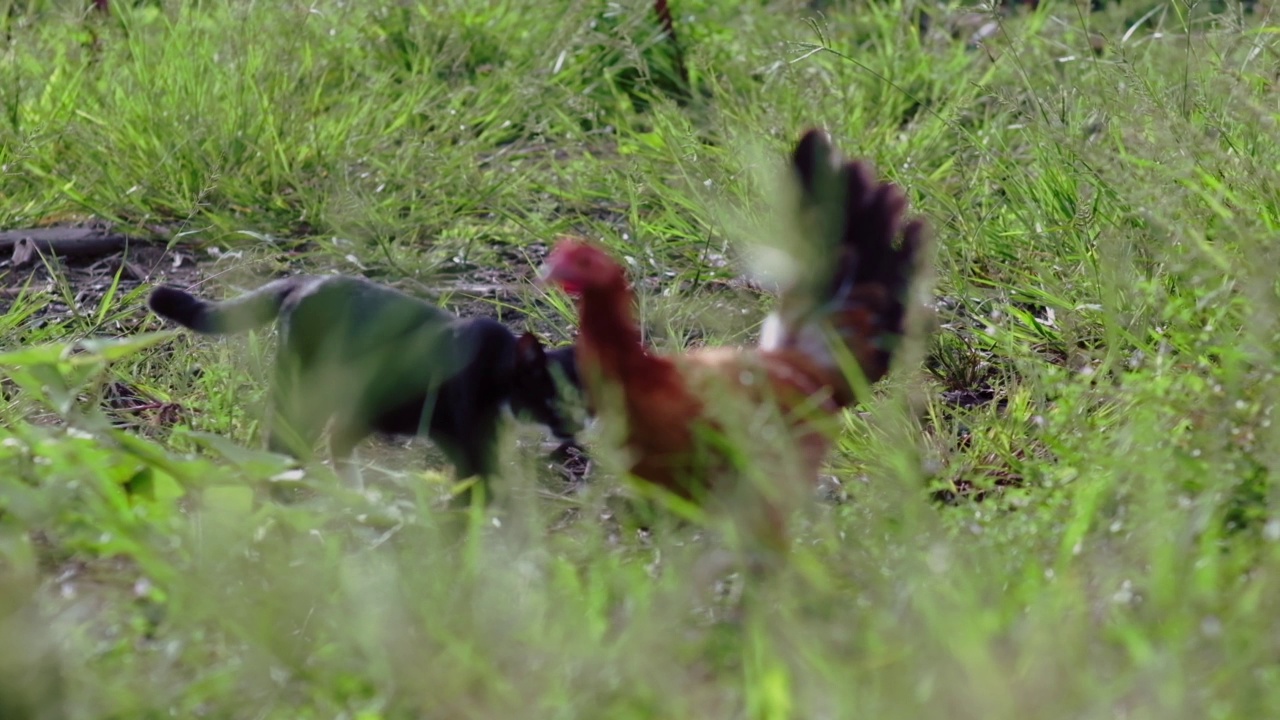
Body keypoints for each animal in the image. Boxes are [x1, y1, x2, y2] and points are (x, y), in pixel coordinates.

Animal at [145, 274, 581, 504]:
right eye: (550, 398)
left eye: (585, 402)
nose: (575, 429)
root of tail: (307, 281)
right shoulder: (468, 437)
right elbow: (479, 482)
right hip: (307, 390)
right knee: (287, 441)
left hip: (369, 403)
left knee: (337, 437)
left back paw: (353, 496)